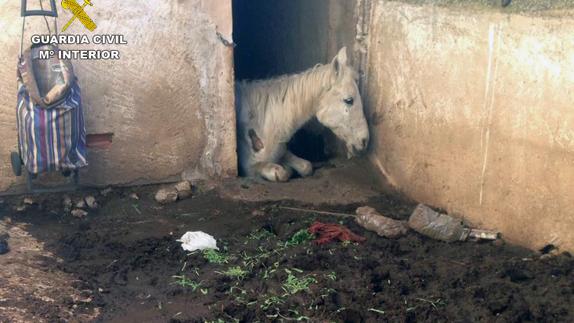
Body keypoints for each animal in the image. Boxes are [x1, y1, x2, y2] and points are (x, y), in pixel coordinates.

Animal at [237, 47, 368, 182]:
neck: (263, 122)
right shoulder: (250, 168)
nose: (365, 141)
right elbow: (281, 173)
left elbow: (306, 166)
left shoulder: (283, 153)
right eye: (349, 100)